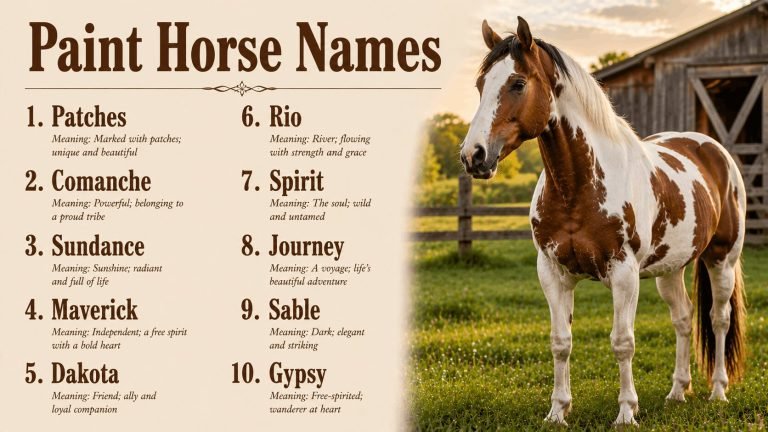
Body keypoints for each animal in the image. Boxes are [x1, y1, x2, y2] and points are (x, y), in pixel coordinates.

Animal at [459, 17, 747, 426]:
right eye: (481, 85)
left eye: (517, 83)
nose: (474, 155)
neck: (577, 186)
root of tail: (711, 148)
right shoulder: (552, 273)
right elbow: (560, 342)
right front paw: (557, 411)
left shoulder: (624, 273)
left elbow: (622, 342)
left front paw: (626, 412)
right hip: (670, 268)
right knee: (683, 318)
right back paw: (677, 392)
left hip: (721, 258)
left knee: (719, 318)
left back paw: (718, 391)